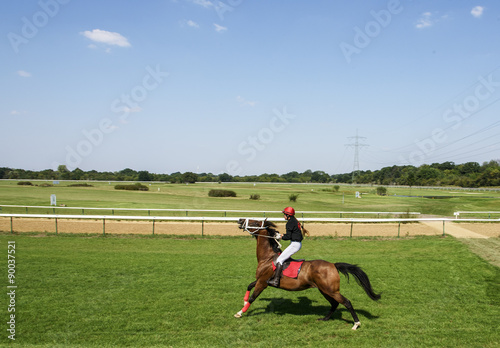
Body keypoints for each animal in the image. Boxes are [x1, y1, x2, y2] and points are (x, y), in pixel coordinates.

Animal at [233, 219, 378, 330]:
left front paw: (240, 312)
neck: (268, 258)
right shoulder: (260, 280)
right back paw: (324, 318)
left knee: (346, 302)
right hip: (324, 290)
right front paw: (244, 300)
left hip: (330, 290)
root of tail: (333, 265)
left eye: (255, 222)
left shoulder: (263, 282)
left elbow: (253, 297)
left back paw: (356, 324)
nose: (239, 220)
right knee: (334, 304)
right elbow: (249, 286)